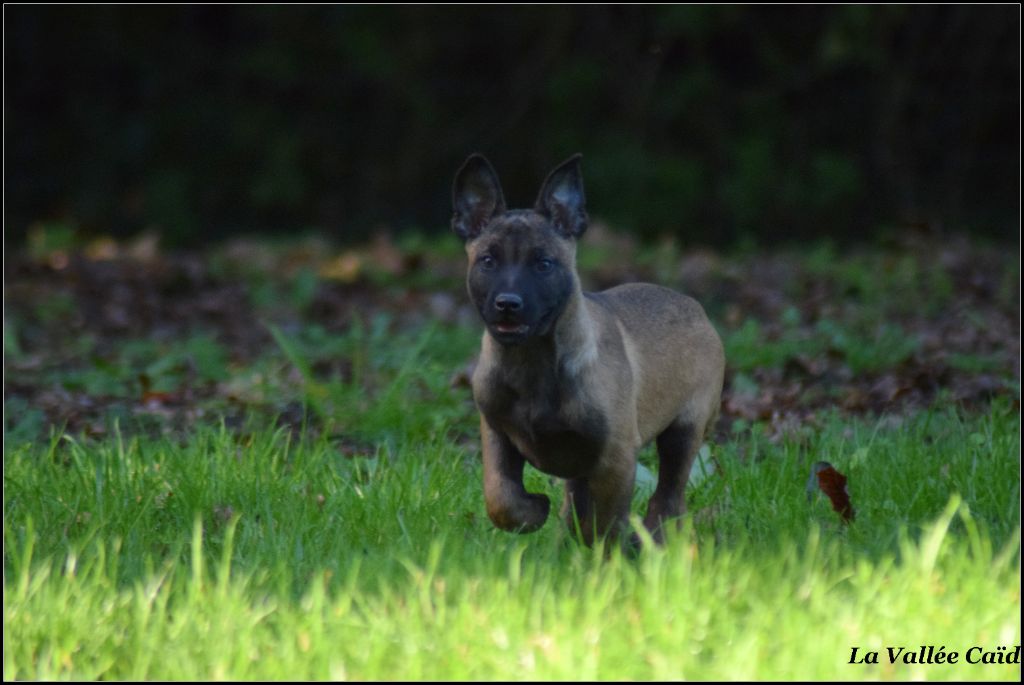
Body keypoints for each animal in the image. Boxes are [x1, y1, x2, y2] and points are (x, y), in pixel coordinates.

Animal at [452, 153, 724, 546]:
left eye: (543, 264)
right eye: (488, 261)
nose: (508, 304)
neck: (532, 362)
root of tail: (696, 308)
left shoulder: (615, 456)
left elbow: (606, 521)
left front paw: (601, 556)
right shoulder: (496, 432)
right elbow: (500, 497)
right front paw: (533, 511)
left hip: (684, 430)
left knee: (668, 497)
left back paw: (655, 542)